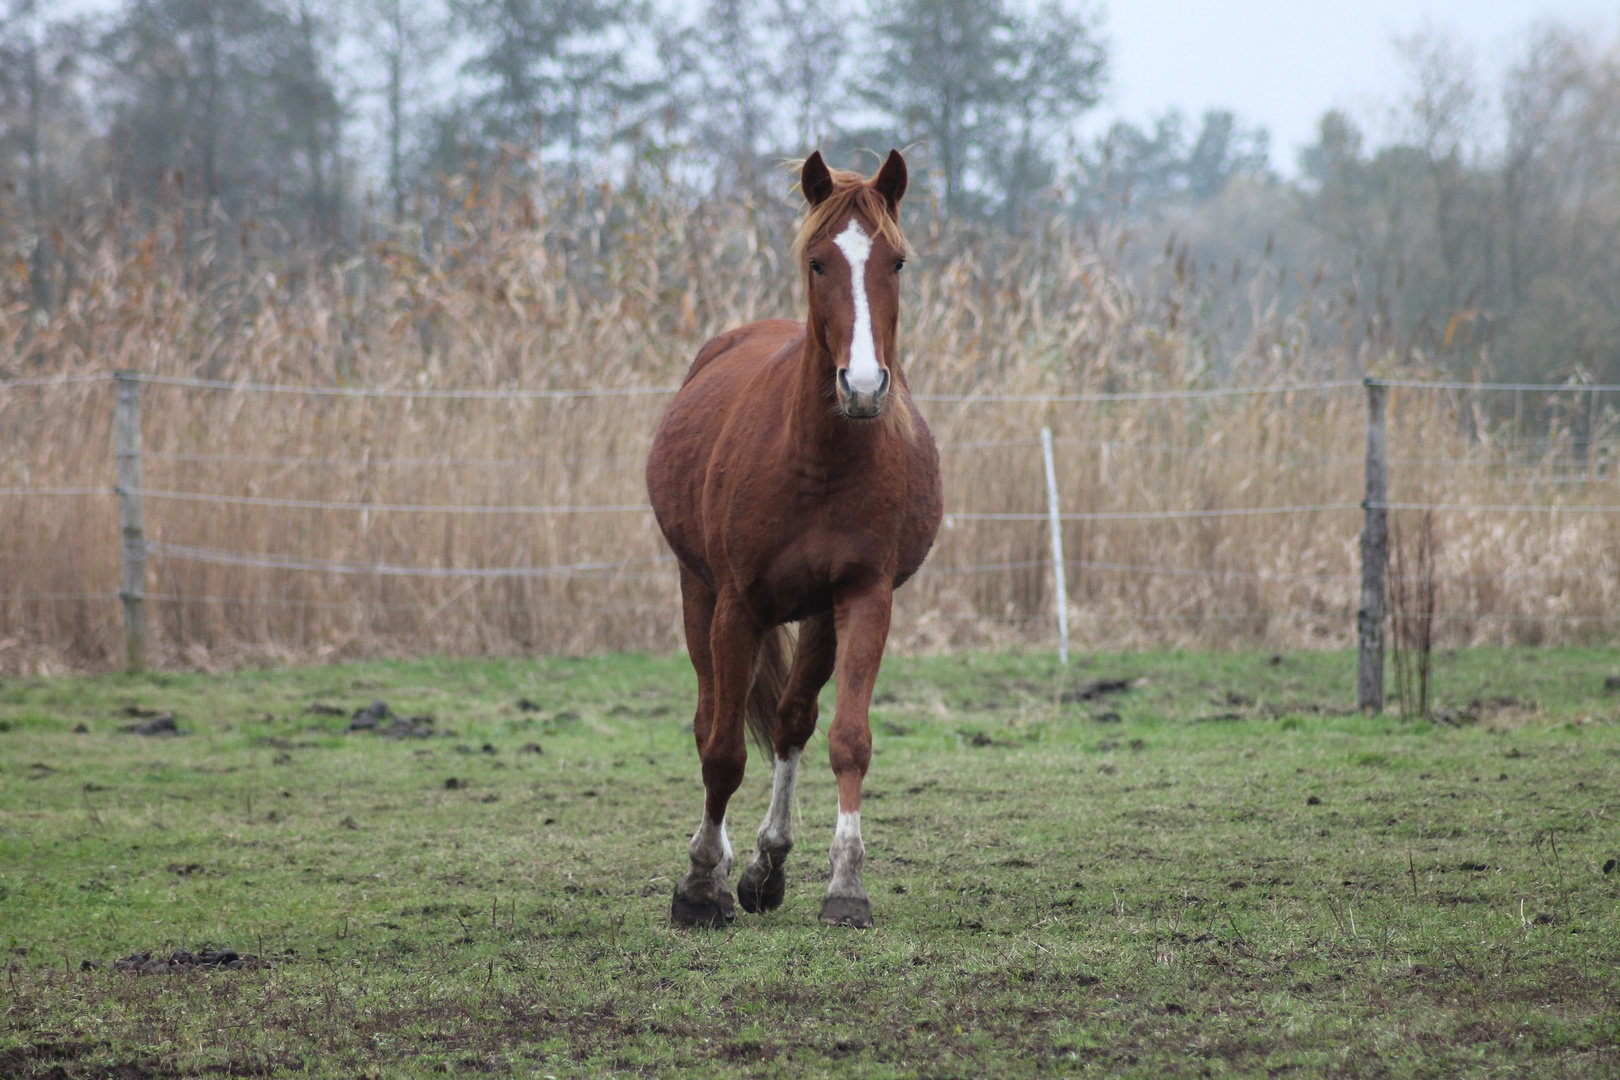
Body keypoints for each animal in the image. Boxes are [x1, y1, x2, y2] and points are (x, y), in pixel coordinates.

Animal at [644, 149, 946, 932]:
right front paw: (700, 885)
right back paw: (722, 870)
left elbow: (846, 738)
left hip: (817, 615)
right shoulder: (736, 606)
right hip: (697, 592)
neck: (817, 460)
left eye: (897, 262)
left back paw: (767, 867)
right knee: (710, 721)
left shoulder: (864, 597)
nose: (863, 386)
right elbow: (722, 750)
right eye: (818, 262)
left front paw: (844, 886)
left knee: (791, 721)